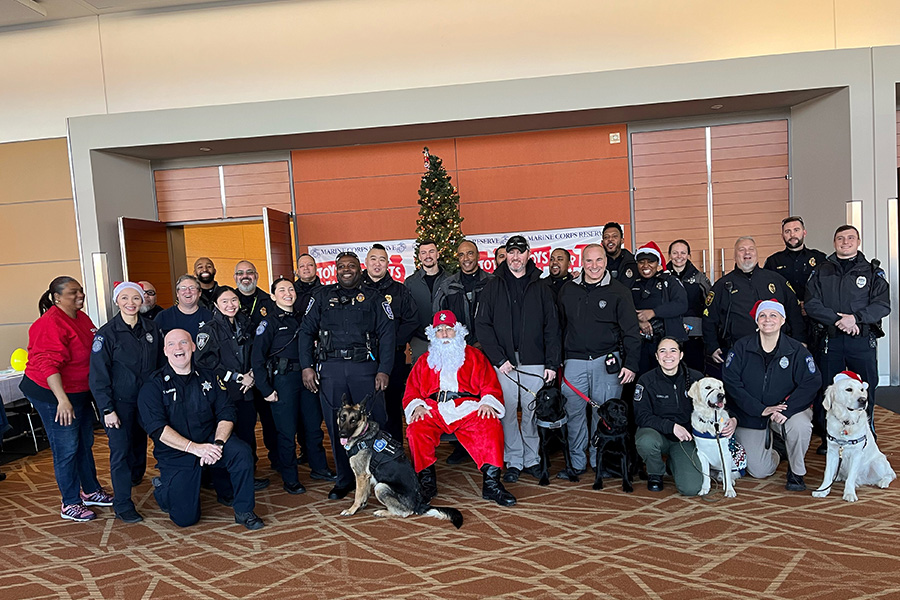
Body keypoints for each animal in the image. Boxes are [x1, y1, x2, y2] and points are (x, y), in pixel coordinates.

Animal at [338, 396, 464, 528]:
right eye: (342, 418)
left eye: (353, 420)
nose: (342, 434)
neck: (363, 434)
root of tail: (418, 504)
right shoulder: (365, 477)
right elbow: (364, 493)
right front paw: (362, 505)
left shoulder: (360, 475)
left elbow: (357, 496)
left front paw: (352, 510)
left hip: (380, 486)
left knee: (404, 513)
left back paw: (383, 512)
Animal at [404, 310, 516, 506]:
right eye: (439, 330)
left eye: (448, 329)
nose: (444, 336)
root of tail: (450, 427)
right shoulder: (417, 370)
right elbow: (413, 391)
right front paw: (418, 409)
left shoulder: (483, 365)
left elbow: (488, 386)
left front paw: (487, 405)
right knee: (420, 446)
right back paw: (427, 486)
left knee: (489, 439)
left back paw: (495, 490)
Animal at [812, 372, 896, 504]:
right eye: (849, 389)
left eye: (862, 390)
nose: (863, 400)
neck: (846, 422)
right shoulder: (832, 451)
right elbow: (827, 473)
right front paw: (823, 490)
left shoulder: (856, 453)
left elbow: (851, 477)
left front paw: (849, 493)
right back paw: (838, 477)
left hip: (878, 462)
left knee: (891, 474)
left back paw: (882, 482)